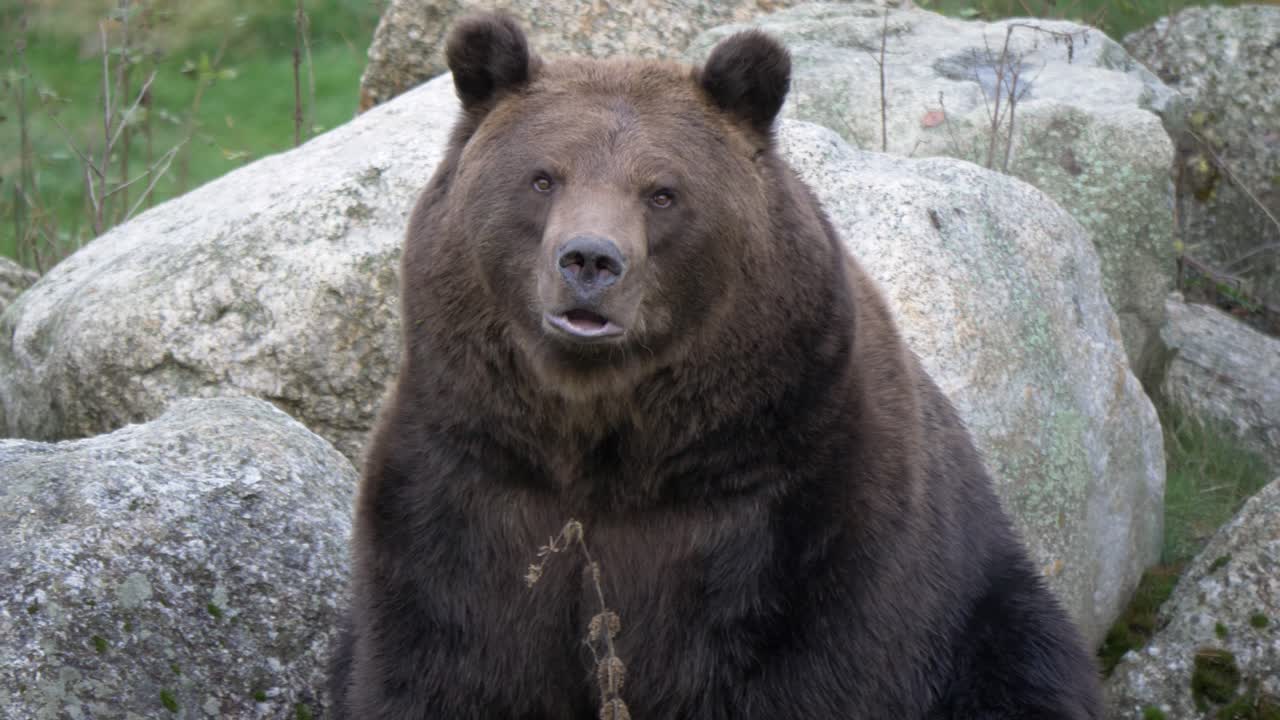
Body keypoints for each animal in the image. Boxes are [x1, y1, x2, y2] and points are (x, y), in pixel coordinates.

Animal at [329, 12, 1103, 719]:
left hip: (985, 612)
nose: (590, 260)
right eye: (543, 178)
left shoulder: (789, 509)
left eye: (662, 191)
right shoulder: (470, 480)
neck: (605, 444)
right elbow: (439, 664)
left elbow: (805, 671)